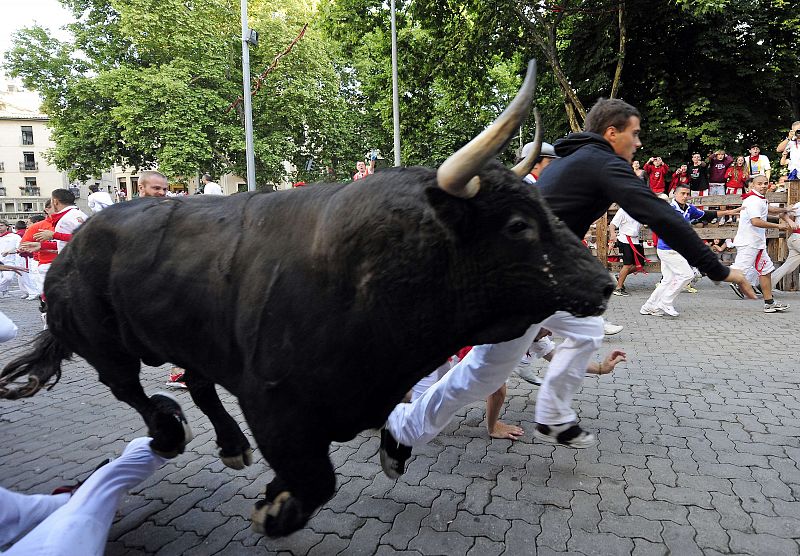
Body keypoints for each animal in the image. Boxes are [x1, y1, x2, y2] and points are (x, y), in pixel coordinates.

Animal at [3, 162, 612, 536]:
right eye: (518, 225)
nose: (604, 282)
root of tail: (74, 245)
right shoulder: (272, 401)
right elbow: (317, 478)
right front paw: (274, 512)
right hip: (105, 343)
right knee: (130, 388)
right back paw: (169, 431)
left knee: (196, 381)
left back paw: (229, 446)